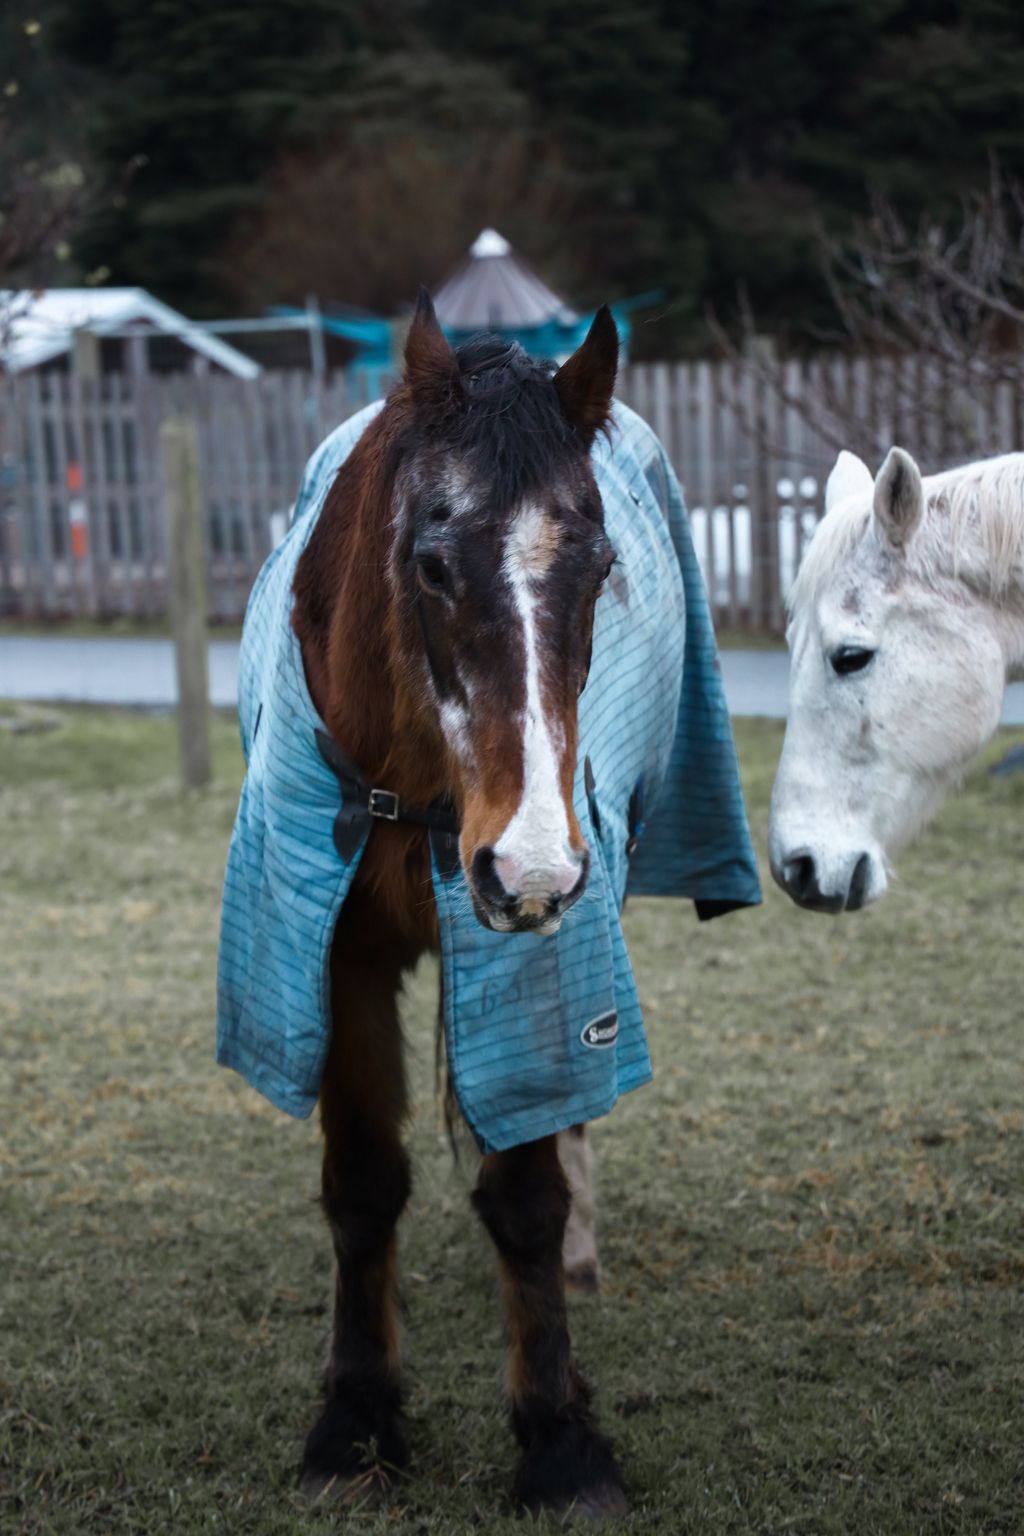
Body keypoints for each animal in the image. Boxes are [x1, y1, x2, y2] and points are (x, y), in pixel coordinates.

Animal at [290, 296, 626, 1511]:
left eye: (601, 565)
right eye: (432, 567)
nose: (527, 870)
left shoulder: (531, 951)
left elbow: (524, 1196)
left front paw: (557, 1438)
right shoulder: (334, 953)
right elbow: (362, 1183)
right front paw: (355, 1419)